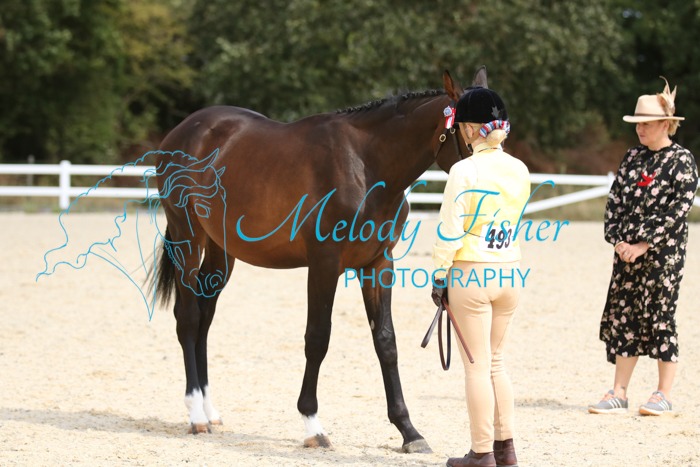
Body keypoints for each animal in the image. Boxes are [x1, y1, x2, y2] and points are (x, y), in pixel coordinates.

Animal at [153, 68, 485, 453]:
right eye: (474, 130)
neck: (367, 166)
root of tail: (184, 130)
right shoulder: (324, 264)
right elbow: (318, 338)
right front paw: (312, 423)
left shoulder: (378, 265)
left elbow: (386, 341)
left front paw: (409, 431)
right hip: (188, 238)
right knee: (188, 319)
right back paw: (195, 415)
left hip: (221, 253)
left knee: (205, 319)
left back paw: (210, 411)